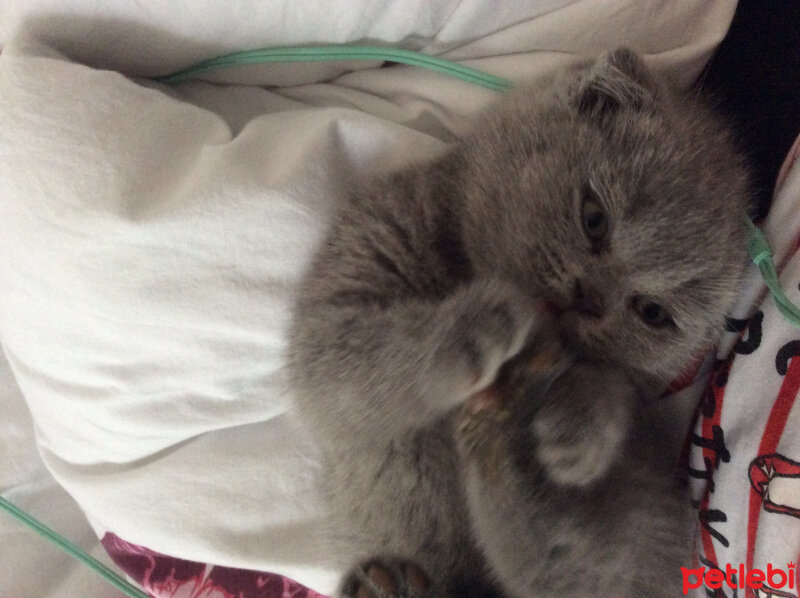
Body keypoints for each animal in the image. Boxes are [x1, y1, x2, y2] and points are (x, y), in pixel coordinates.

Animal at [288, 49, 752, 596]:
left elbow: (608, 386)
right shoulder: (340, 301)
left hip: (644, 522)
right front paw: (475, 325)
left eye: (652, 313)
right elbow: (360, 360)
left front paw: (579, 425)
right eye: (594, 218)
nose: (589, 299)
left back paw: (505, 437)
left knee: (563, 566)